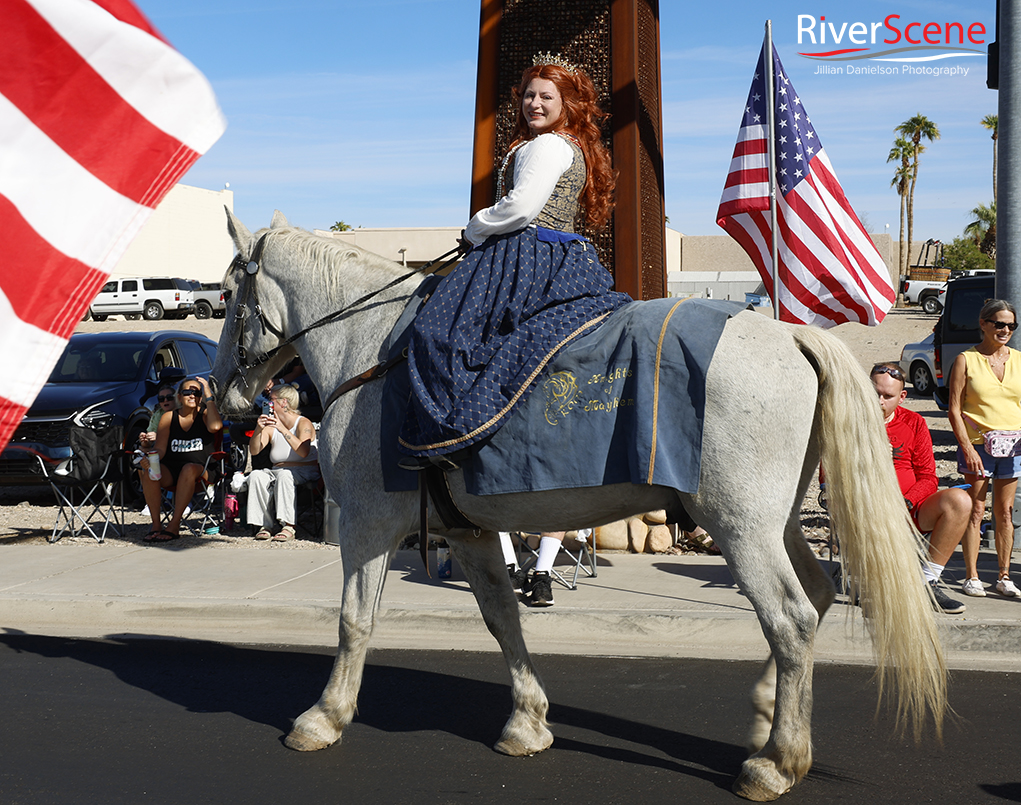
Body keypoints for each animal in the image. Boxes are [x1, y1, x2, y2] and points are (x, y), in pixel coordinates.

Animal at [213, 210, 947, 800]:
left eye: (223, 295)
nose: (227, 398)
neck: (367, 351)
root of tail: (794, 336)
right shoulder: (470, 533)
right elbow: (502, 619)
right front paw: (527, 722)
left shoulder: (367, 527)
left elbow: (352, 621)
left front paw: (323, 717)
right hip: (774, 520)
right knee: (817, 595)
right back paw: (766, 720)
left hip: (739, 525)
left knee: (790, 617)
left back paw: (776, 763)